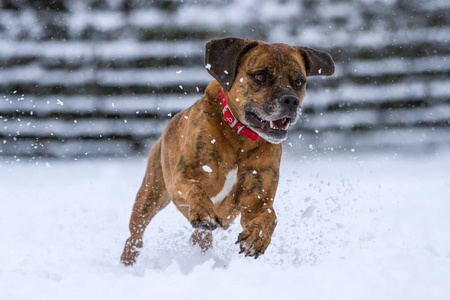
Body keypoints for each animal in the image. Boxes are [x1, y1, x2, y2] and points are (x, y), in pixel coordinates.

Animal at [120, 37, 334, 264]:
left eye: (299, 82)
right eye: (260, 76)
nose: (290, 100)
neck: (240, 137)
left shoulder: (257, 199)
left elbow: (270, 215)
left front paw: (257, 237)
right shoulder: (181, 179)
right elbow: (195, 187)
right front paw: (204, 210)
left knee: (200, 237)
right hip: (151, 193)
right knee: (136, 233)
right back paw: (129, 260)